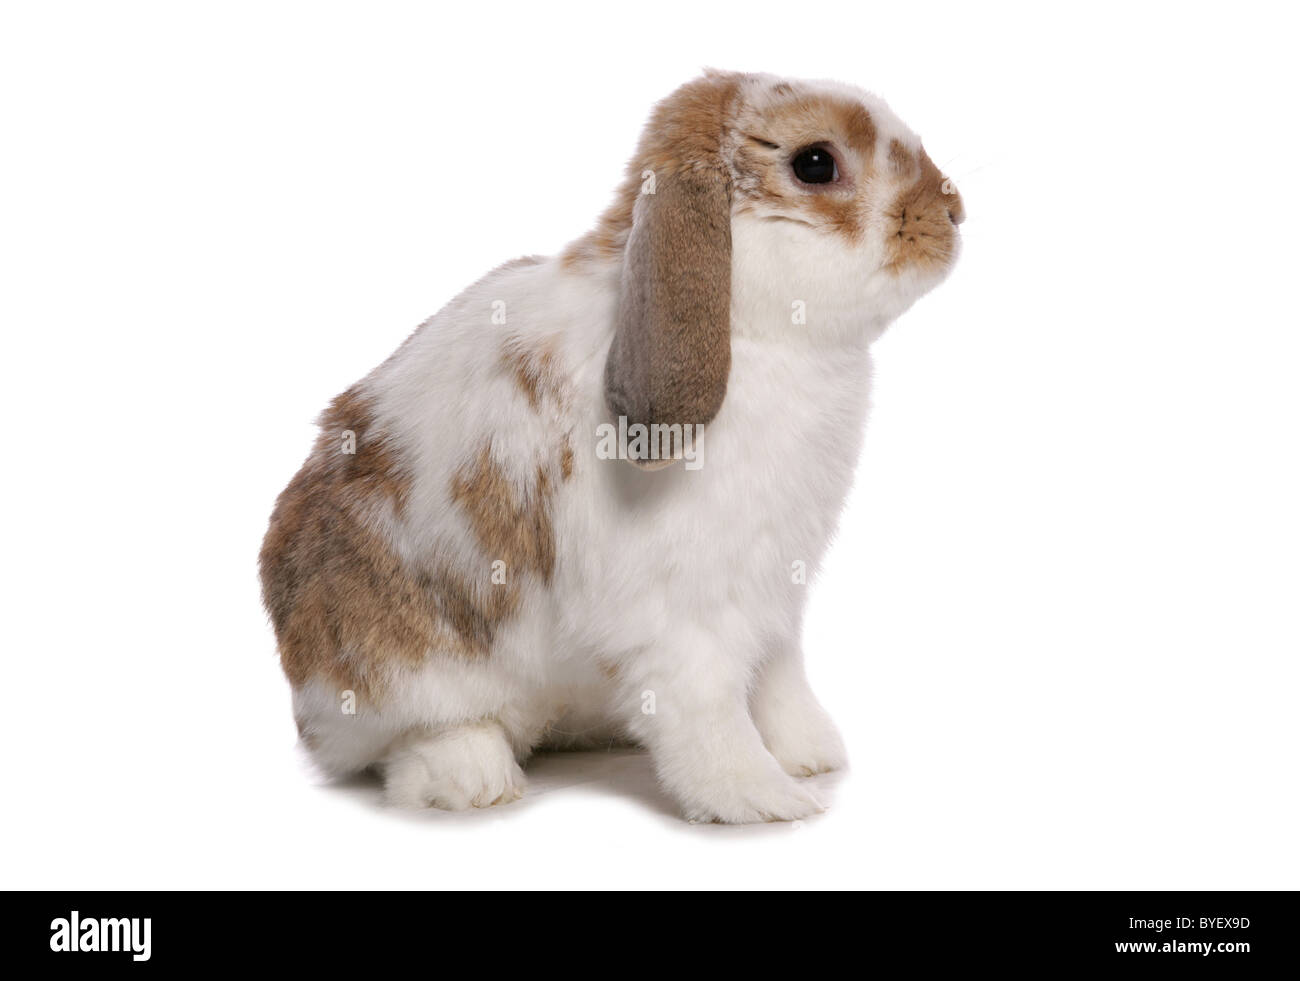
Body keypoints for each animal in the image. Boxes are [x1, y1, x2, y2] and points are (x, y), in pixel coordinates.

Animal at [260, 69, 963, 823]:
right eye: (815, 164)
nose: (955, 213)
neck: (755, 333)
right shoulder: (683, 613)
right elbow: (709, 709)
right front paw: (763, 797)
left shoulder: (773, 591)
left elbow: (779, 679)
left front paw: (811, 755)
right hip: (404, 663)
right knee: (411, 739)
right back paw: (474, 777)